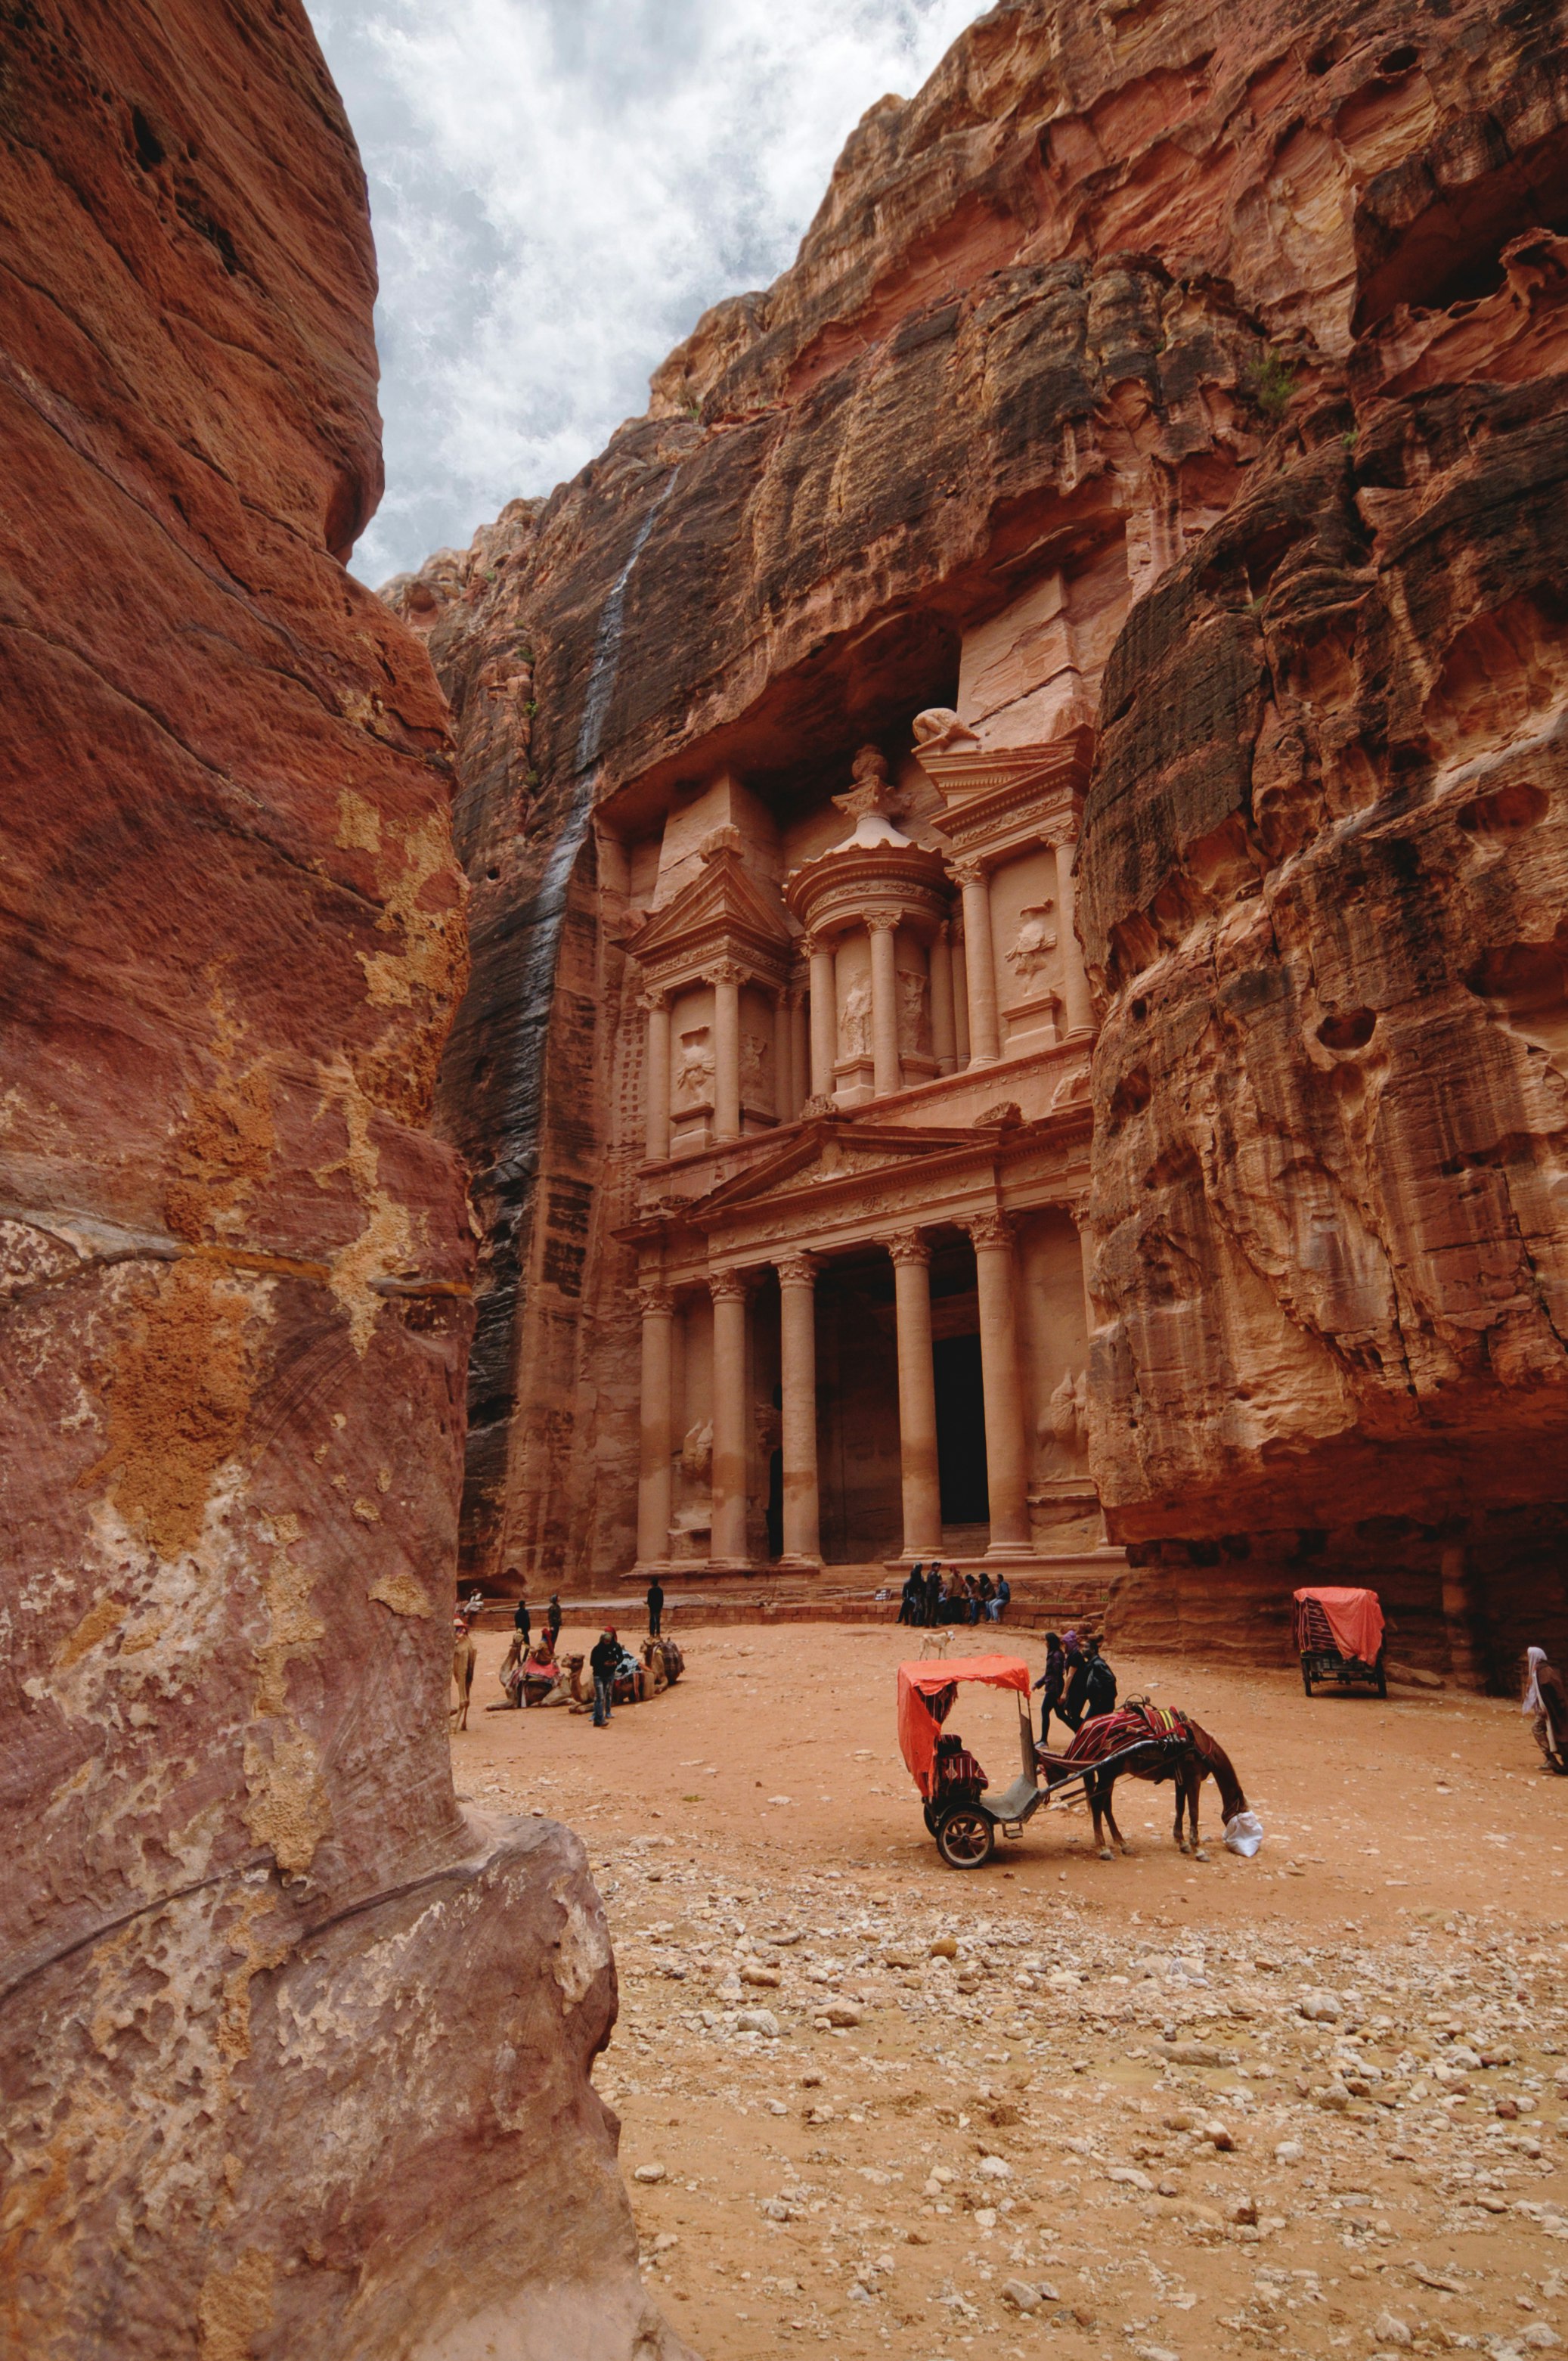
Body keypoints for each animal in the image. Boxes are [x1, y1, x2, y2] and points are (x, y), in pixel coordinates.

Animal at [1039, 1699, 1247, 1860]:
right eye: (1242, 1812)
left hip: (1110, 1774)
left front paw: (1181, 1842)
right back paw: (1103, 1848)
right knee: (1099, 1804)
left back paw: (1122, 1843)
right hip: (1108, 1772)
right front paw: (1198, 1849)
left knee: (1106, 1805)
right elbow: (1194, 1812)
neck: (1199, 1744)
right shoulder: (1193, 1779)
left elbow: (1179, 1808)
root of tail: (1085, 1728)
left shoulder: (1181, 1779)